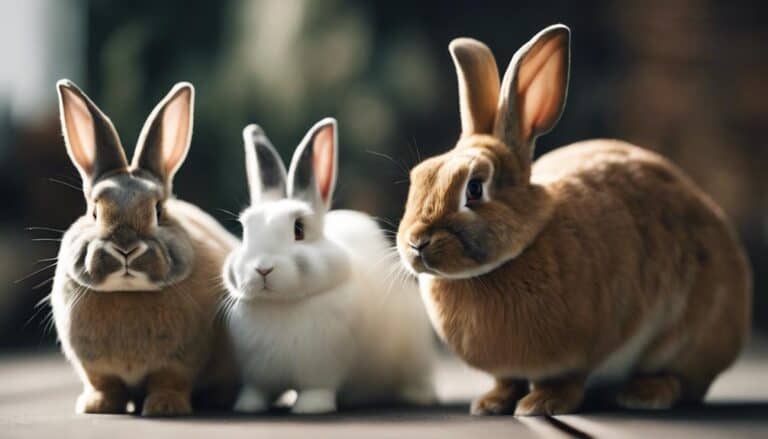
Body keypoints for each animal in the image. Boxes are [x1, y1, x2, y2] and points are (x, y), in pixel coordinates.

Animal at [50, 80, 239, 417]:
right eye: (94, 212)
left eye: (159, 211)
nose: (125, 249)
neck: (129, 293)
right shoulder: (95, 368)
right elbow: (104, 384)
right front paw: (97, 406)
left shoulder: (179, 363)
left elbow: (169, 382)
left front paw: (164, 407)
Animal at [222, 118, 435, 414]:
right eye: (245, 230)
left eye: (299, 229)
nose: (263, 269)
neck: (281, 305)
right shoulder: (258, 374)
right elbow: (257, 391)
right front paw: (247, 407)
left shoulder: (321, 368)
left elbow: (317, 390)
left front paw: (309, 408)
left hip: (415, 354)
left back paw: (418, 397)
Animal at [396, 24, 752, 416]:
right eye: (419, 176)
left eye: (474, 188)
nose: (416, 242)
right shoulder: (508, 370)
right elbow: (507, 380)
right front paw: (490, 404)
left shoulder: (582, 350)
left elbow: (565, 380)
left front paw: (541, 404)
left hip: (689, 337)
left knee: (682, 380)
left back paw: (643, 394)